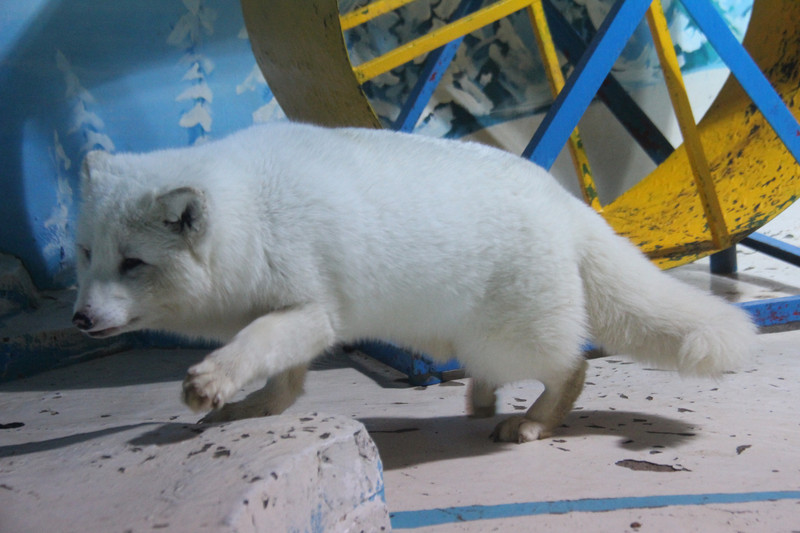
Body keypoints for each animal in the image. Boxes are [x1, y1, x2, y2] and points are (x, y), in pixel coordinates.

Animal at [70, 122, 756, 442]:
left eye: (133, 263)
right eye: (85, 255)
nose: (79, 319)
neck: (254, 217)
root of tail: (567, 204)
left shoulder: (312, 311)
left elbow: (255, 347)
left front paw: (210, 382)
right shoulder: (298, 319)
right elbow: (283, 387)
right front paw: (246, 406)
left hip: (509, 339)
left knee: (574, 368)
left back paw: (533, 423)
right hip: (476, 340)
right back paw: (482, 399)